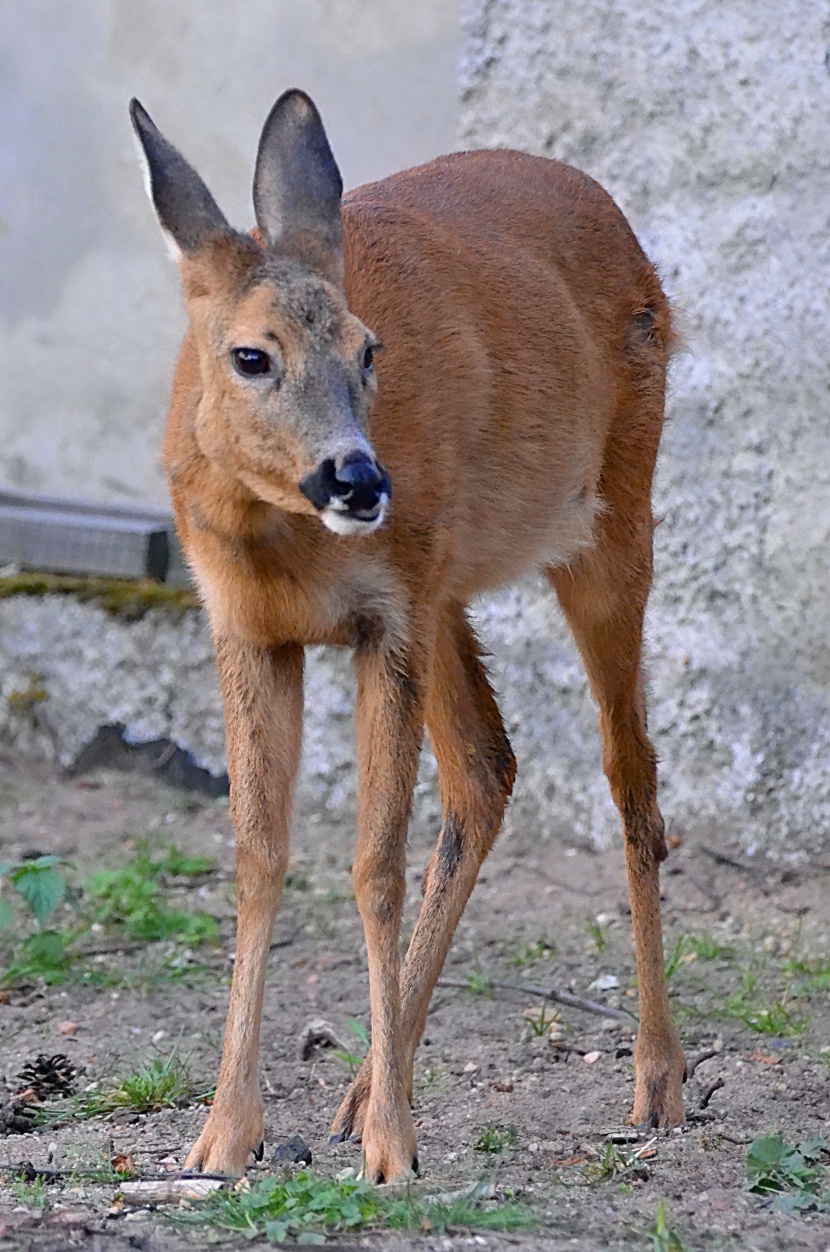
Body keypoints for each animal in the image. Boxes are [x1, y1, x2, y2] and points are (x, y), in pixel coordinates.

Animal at [131, 88, 686, 1181]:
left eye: (368, 350)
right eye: (250, 354)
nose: (360, 480)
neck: (280, 547)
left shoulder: (384, 615)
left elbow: (371, 865)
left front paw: (394, 1148)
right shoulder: (246, 626)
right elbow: (258, 852)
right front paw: (223, 1135)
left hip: (606, 519)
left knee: (629, 773)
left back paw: (656, 1080)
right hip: (449, 594)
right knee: (486, 769)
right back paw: (354, 1093)